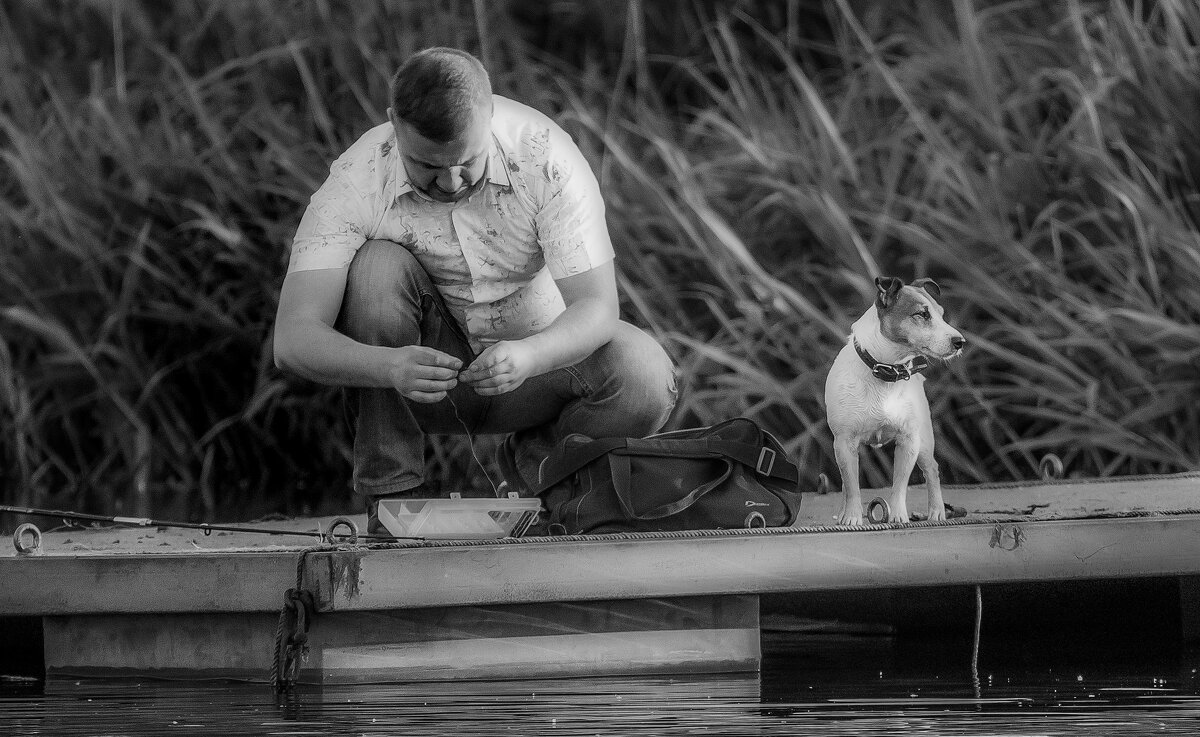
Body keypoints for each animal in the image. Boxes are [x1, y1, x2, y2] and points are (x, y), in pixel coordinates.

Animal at [825, 277, 964, 525]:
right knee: (844, 481)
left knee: (932, 469)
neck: (886, 372)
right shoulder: (844, 441)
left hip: (924, 441)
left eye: (941, 314)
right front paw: (851, 517)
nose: (961, 341)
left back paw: (937, 512)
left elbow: (899, 484)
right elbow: (851, 485)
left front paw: (898, 516)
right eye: (922, 314)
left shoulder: (909, 440)